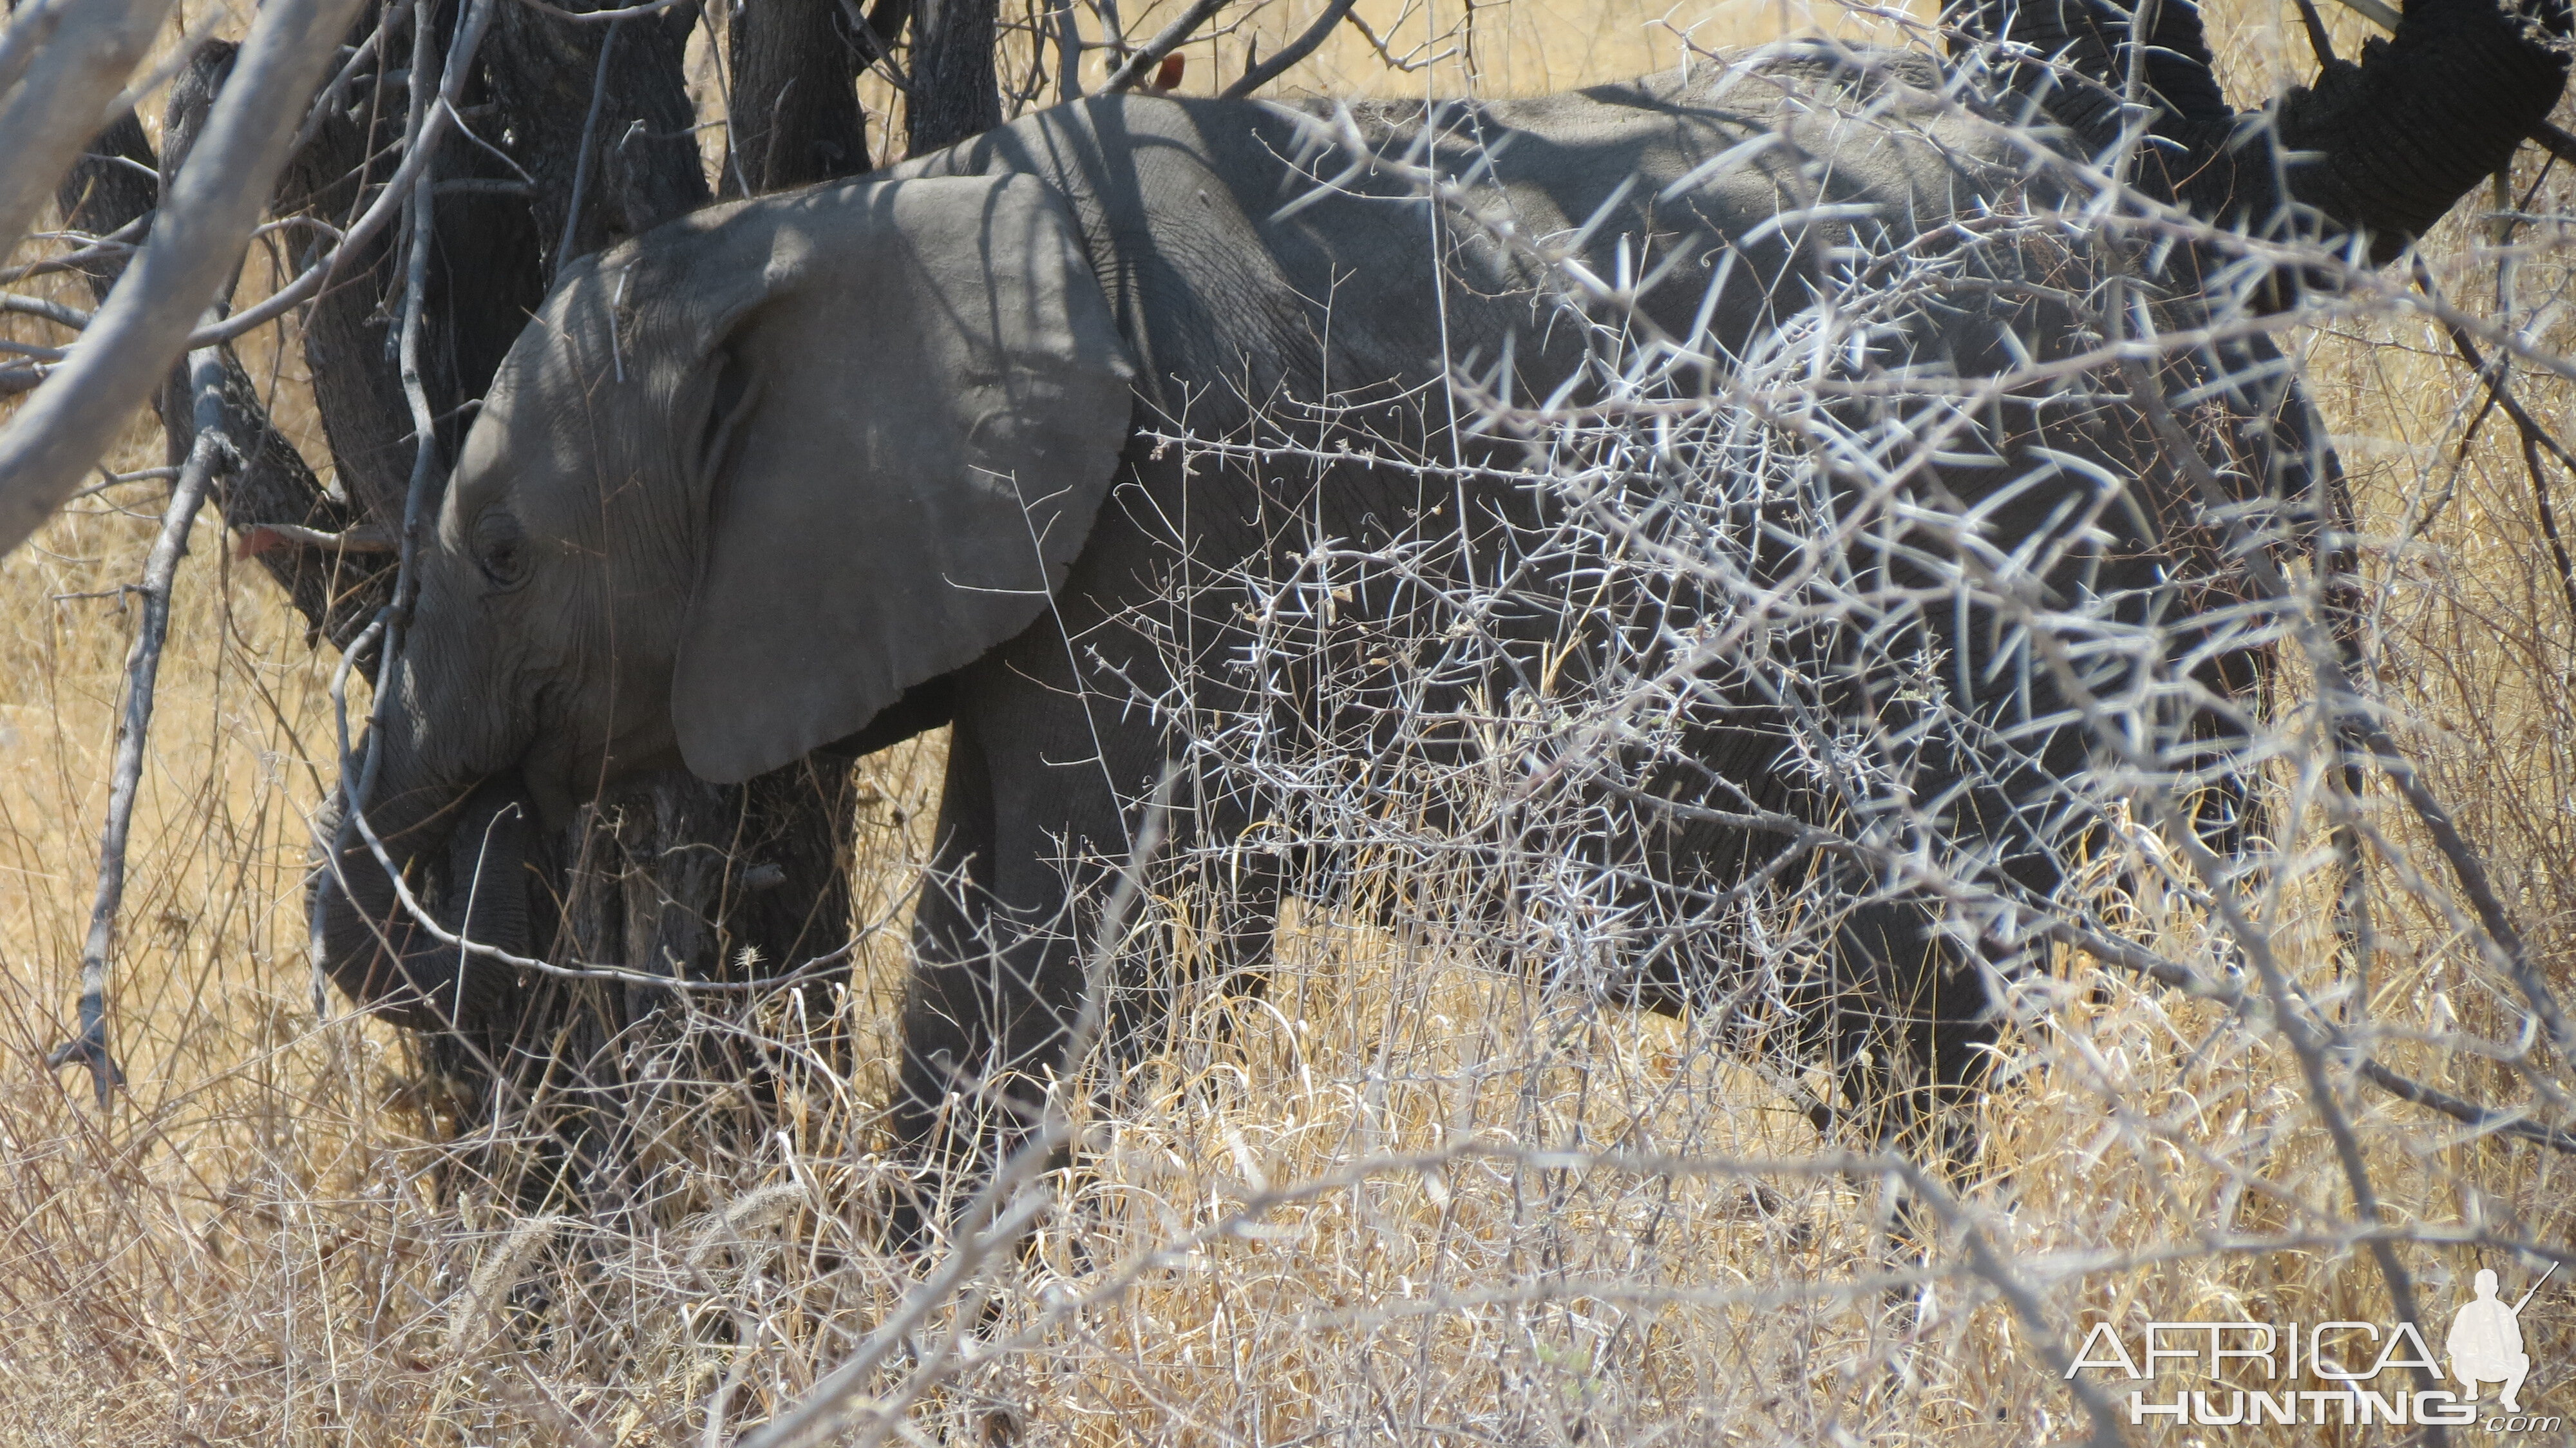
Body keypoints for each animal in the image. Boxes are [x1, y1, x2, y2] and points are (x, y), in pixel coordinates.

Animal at [312, 0, 2566, 1201]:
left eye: (496, 553)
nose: (365, 953)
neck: (856, 217)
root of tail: (2211, 295)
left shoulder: (1181, 530)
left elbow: (1072, 969)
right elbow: (1001, 937)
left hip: (2079, 577)